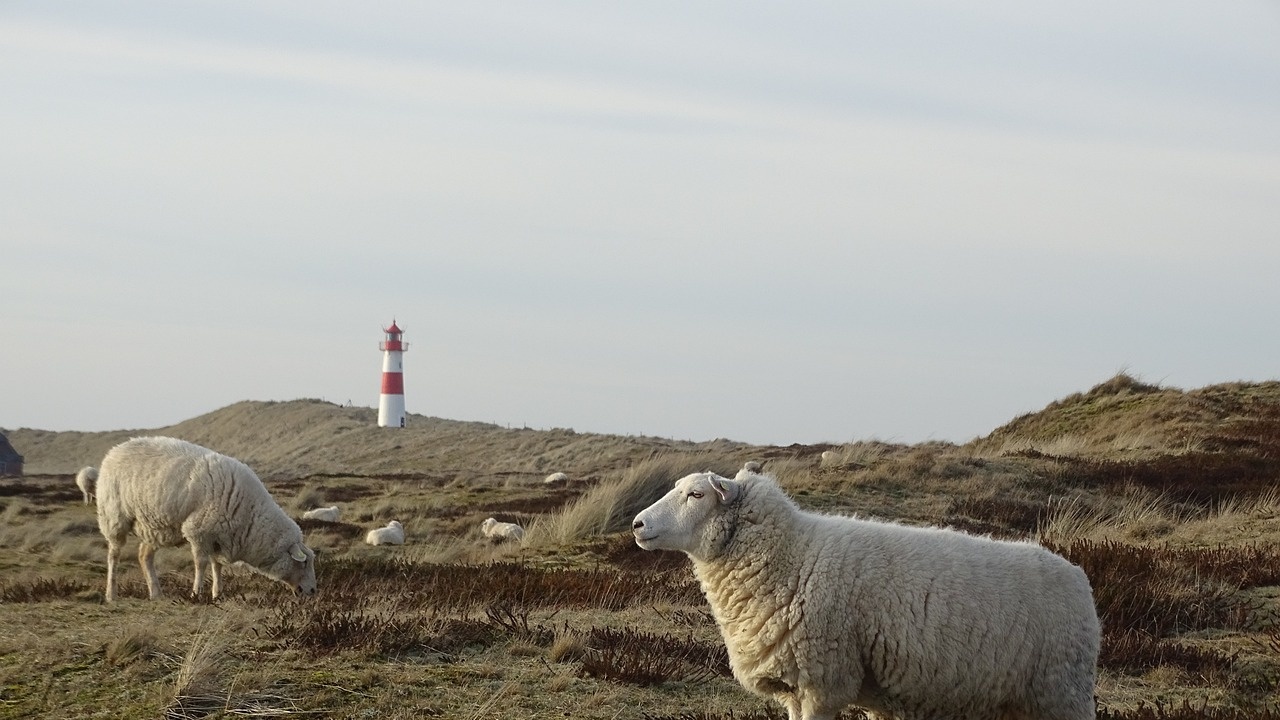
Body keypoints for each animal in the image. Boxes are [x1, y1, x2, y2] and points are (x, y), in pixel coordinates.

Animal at [96, 438, 317, 599]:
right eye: (304, 563)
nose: (313, 591)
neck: (251, 517)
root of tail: (113, 451)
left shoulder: (218, 536)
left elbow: (217, 565)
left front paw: (217, 593)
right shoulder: (199, 531)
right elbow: (201, 563)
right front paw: (196, 593)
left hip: (154, 527)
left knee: (144, 556)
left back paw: (156, 594)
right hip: (114, 517)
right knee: (113, 555)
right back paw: (111, 594)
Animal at [629, 468, 1100, 717]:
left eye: (696, 493)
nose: (636, 523)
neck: (792, 558)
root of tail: (1080, 577)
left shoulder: (824, 679)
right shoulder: (794, 686)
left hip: (1061, 691)